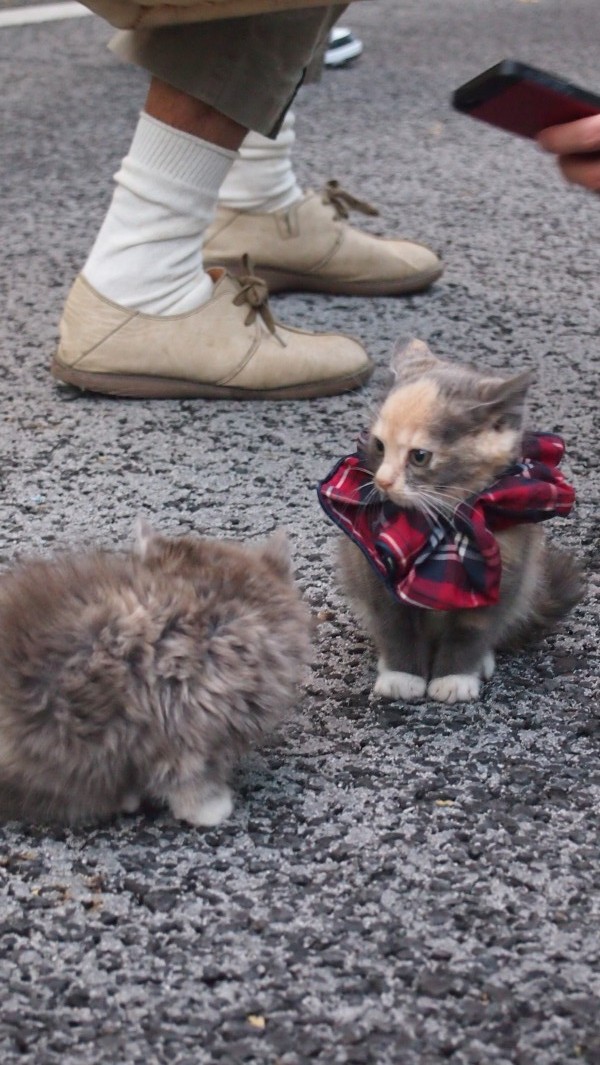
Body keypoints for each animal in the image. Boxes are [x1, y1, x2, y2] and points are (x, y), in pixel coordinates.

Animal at [321, 340, 584, 702]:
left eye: (419, 456)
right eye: (379, 445)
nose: (383, 481)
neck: (443, 528)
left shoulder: (507, 567)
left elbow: (471, 631)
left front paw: (455, 678)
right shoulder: (373, 571)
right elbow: (394, 623)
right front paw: (402, 675)